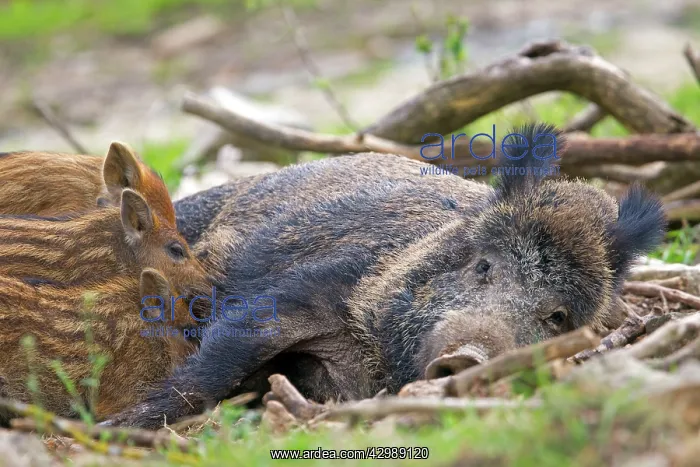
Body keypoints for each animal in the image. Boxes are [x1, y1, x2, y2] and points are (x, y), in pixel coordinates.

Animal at [102, 122, 666, 429]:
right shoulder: (310, 286)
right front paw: (116, 425)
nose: (469, 354)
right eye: (484, 265)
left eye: (558, 315)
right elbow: (217, 363)